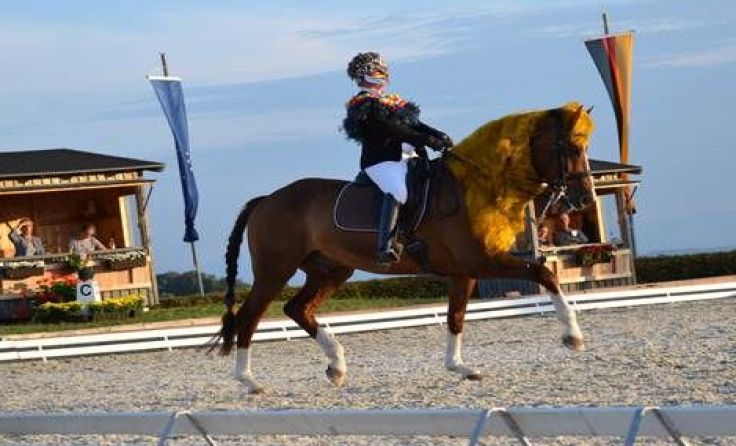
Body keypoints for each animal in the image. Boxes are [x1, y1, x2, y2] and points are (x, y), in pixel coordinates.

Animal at [214, 102, 596, 394]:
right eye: (572, 148)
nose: (583, 201)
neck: (476, 184)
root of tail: (267, 199)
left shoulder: (464, 271)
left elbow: (456, 317)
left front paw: (459, 366)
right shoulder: (482, 261)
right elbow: (544, 272)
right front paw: (573, 336)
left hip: (331, 269)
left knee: (297, 308)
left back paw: (336, 365)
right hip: (275, 270)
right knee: (250, 317)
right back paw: (249, 381)